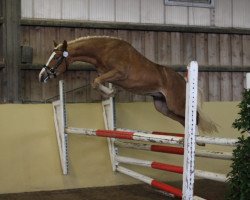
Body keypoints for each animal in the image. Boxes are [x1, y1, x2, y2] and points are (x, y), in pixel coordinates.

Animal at [38, 36, 217, 133]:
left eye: (56, 58)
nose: (41, 76)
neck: (104, 51)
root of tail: (184, 81)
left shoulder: (119, 73)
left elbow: (96, 82)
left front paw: (111, 93)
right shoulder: (107, 75)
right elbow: (97, 82)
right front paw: (110, 93)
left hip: (176, 104)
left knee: (195, 116)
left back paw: (198, 139)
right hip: (163, 107)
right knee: (184, 120)